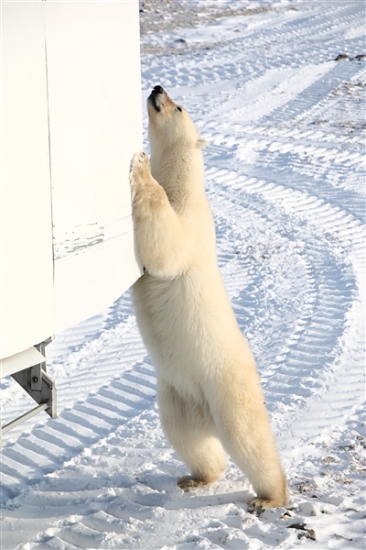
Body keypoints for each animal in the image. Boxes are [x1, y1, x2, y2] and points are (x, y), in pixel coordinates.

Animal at [130, 84, 288, 512]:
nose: (157, 87)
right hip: (177, 397)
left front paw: (140, 163)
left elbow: (165, 248)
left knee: (249, 439)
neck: (184, 186)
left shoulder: (191, 221)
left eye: (179, 106)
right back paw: (196, 477)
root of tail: (206, 415)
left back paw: (270, 497)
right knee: (189, 440)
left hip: (226, 388)